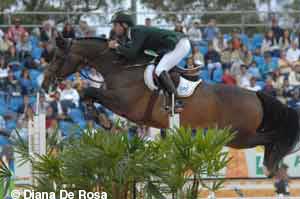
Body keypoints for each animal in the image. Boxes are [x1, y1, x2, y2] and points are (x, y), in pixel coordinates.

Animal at [40, 36, 300, 176]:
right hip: (234, 136)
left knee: (272, 138)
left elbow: (89, 92)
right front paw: (101, 120)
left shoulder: (124, 103)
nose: (44, 84)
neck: (120, 68)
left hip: (239, 136)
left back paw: (271, 164)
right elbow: (88, 95)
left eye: (57, 57)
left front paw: (103, 120)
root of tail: (256, 95)